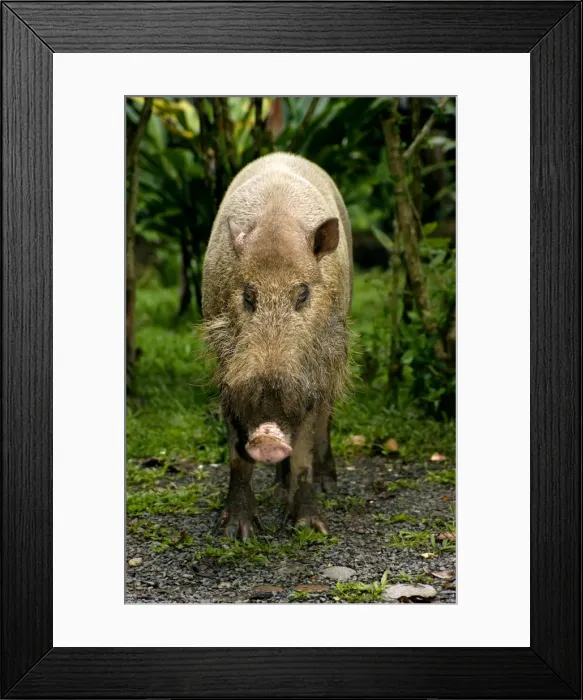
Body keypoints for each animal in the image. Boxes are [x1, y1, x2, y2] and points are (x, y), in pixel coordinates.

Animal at [202, 152, 352, 538]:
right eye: (248, 295)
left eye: (303, 294)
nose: (267, 437)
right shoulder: (229, 374)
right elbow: (236, 454)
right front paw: (237, 534)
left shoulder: (313, 375)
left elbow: (303, 451)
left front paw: (311, 530)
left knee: (326, 418)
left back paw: (328, 485)